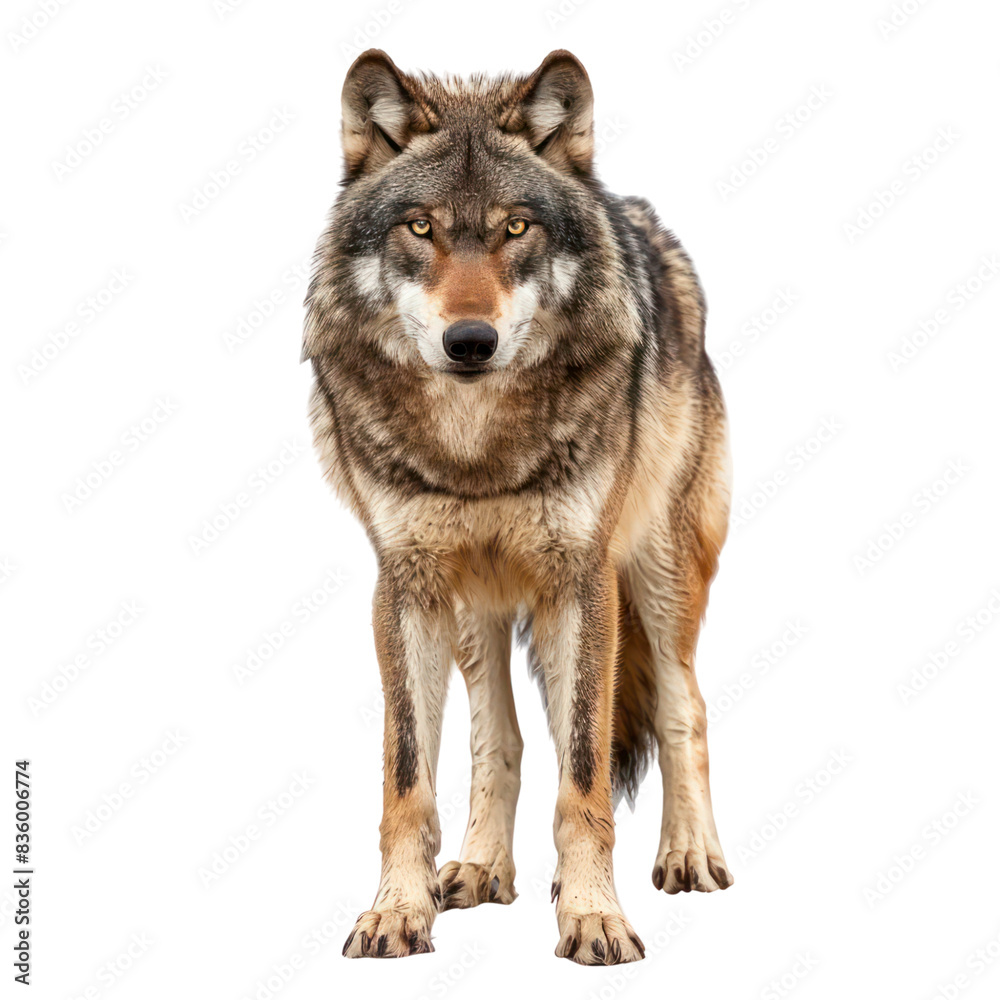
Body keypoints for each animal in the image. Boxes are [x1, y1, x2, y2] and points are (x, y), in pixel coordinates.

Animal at [303, 49, 734, 965]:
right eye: (420, 228)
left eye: (514, 228)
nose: (471, 342)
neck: (477, 452)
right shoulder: (405, 586)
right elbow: (409, 777)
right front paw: (397, 911)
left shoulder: (583, 582)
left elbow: (585, 778)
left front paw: (595, 917)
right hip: (478, 609)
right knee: (497, 736)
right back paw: (479, 869)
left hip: (662, 573)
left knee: (684, 704)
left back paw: (689, 853)